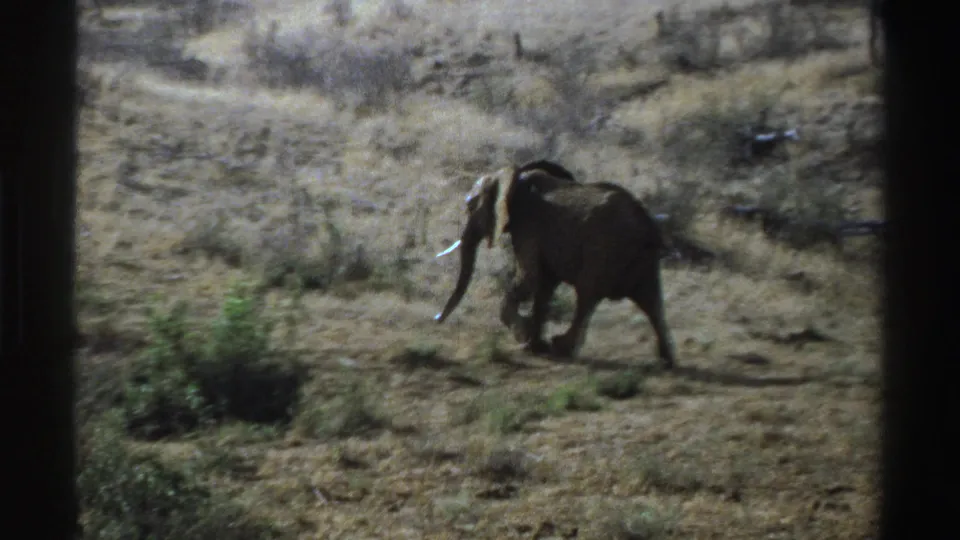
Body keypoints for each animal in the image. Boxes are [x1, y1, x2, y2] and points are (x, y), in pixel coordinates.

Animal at [433, 160, 676, 369]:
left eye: (470, 206)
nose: (436, 319)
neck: (514, 180)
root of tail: (648, 226)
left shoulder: (529, 226)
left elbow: (529, 279)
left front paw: (524, 338)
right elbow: (544, 286)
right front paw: (533, 346)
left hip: (604, 247)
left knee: (587, 294)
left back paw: (561, 348)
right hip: (642, 260)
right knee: (652, 301)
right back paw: (666, 361)